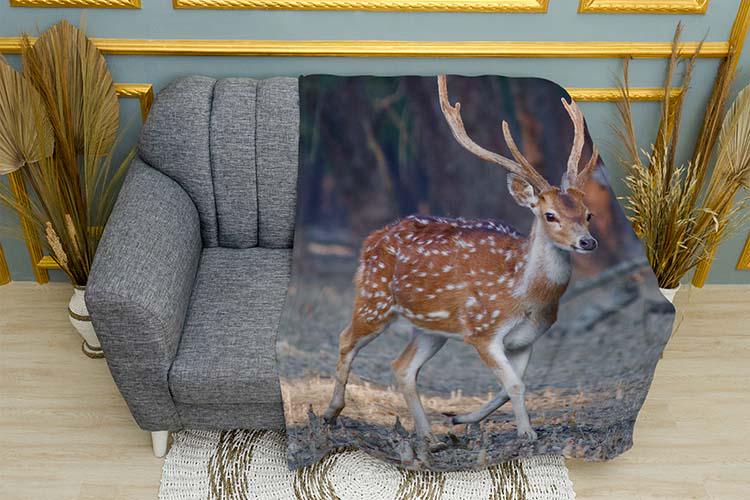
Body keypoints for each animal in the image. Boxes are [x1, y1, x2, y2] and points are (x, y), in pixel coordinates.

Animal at [323, 75, 599, 443]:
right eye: (550, 215)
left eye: (588, 214)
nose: (588, 242)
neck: (526, 296)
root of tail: (372, 239)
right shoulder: (482, 330)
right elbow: (515, 384)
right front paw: (526, 433)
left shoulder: (527, 339)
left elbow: (513, 385)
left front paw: (462, 418)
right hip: (374, 299)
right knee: (346, 339)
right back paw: (331, 412)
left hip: (431, 328)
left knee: (402, 366)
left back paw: (429, 435)